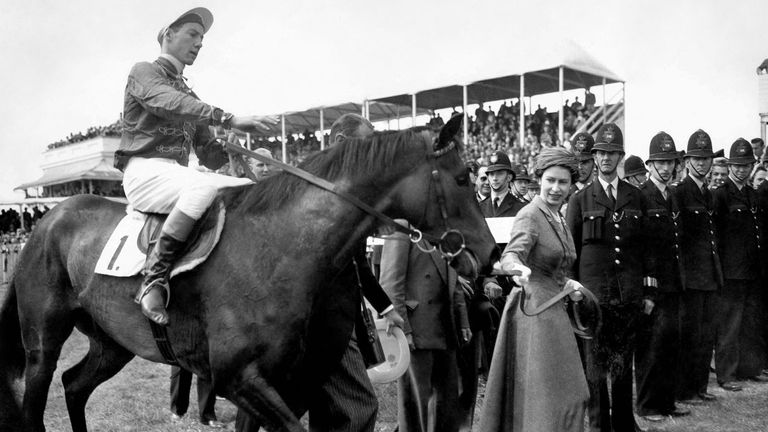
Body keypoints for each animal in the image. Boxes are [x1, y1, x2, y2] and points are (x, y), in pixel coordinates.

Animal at [0, 116, 498, 430]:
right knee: (36, 400)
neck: (277, 246)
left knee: (74, 386)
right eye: (463, 178)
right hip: (42, 343)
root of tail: (49, 217)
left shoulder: (281, 381)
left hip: (112, 342)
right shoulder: (239, 379)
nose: (491, 253)